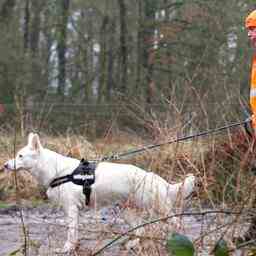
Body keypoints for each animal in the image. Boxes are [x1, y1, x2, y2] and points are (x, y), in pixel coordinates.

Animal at [4, 133, 195, 253]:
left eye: (20, 156)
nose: (5, 165)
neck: (56, 170)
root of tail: (155, 178)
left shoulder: (71, 209)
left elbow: (71, 234)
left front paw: (67, 249)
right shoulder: (72, 211)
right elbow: (74, 234)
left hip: (159, 210)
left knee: (176, 223)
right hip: (127, 212)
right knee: (140, 231)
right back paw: (131, 245)